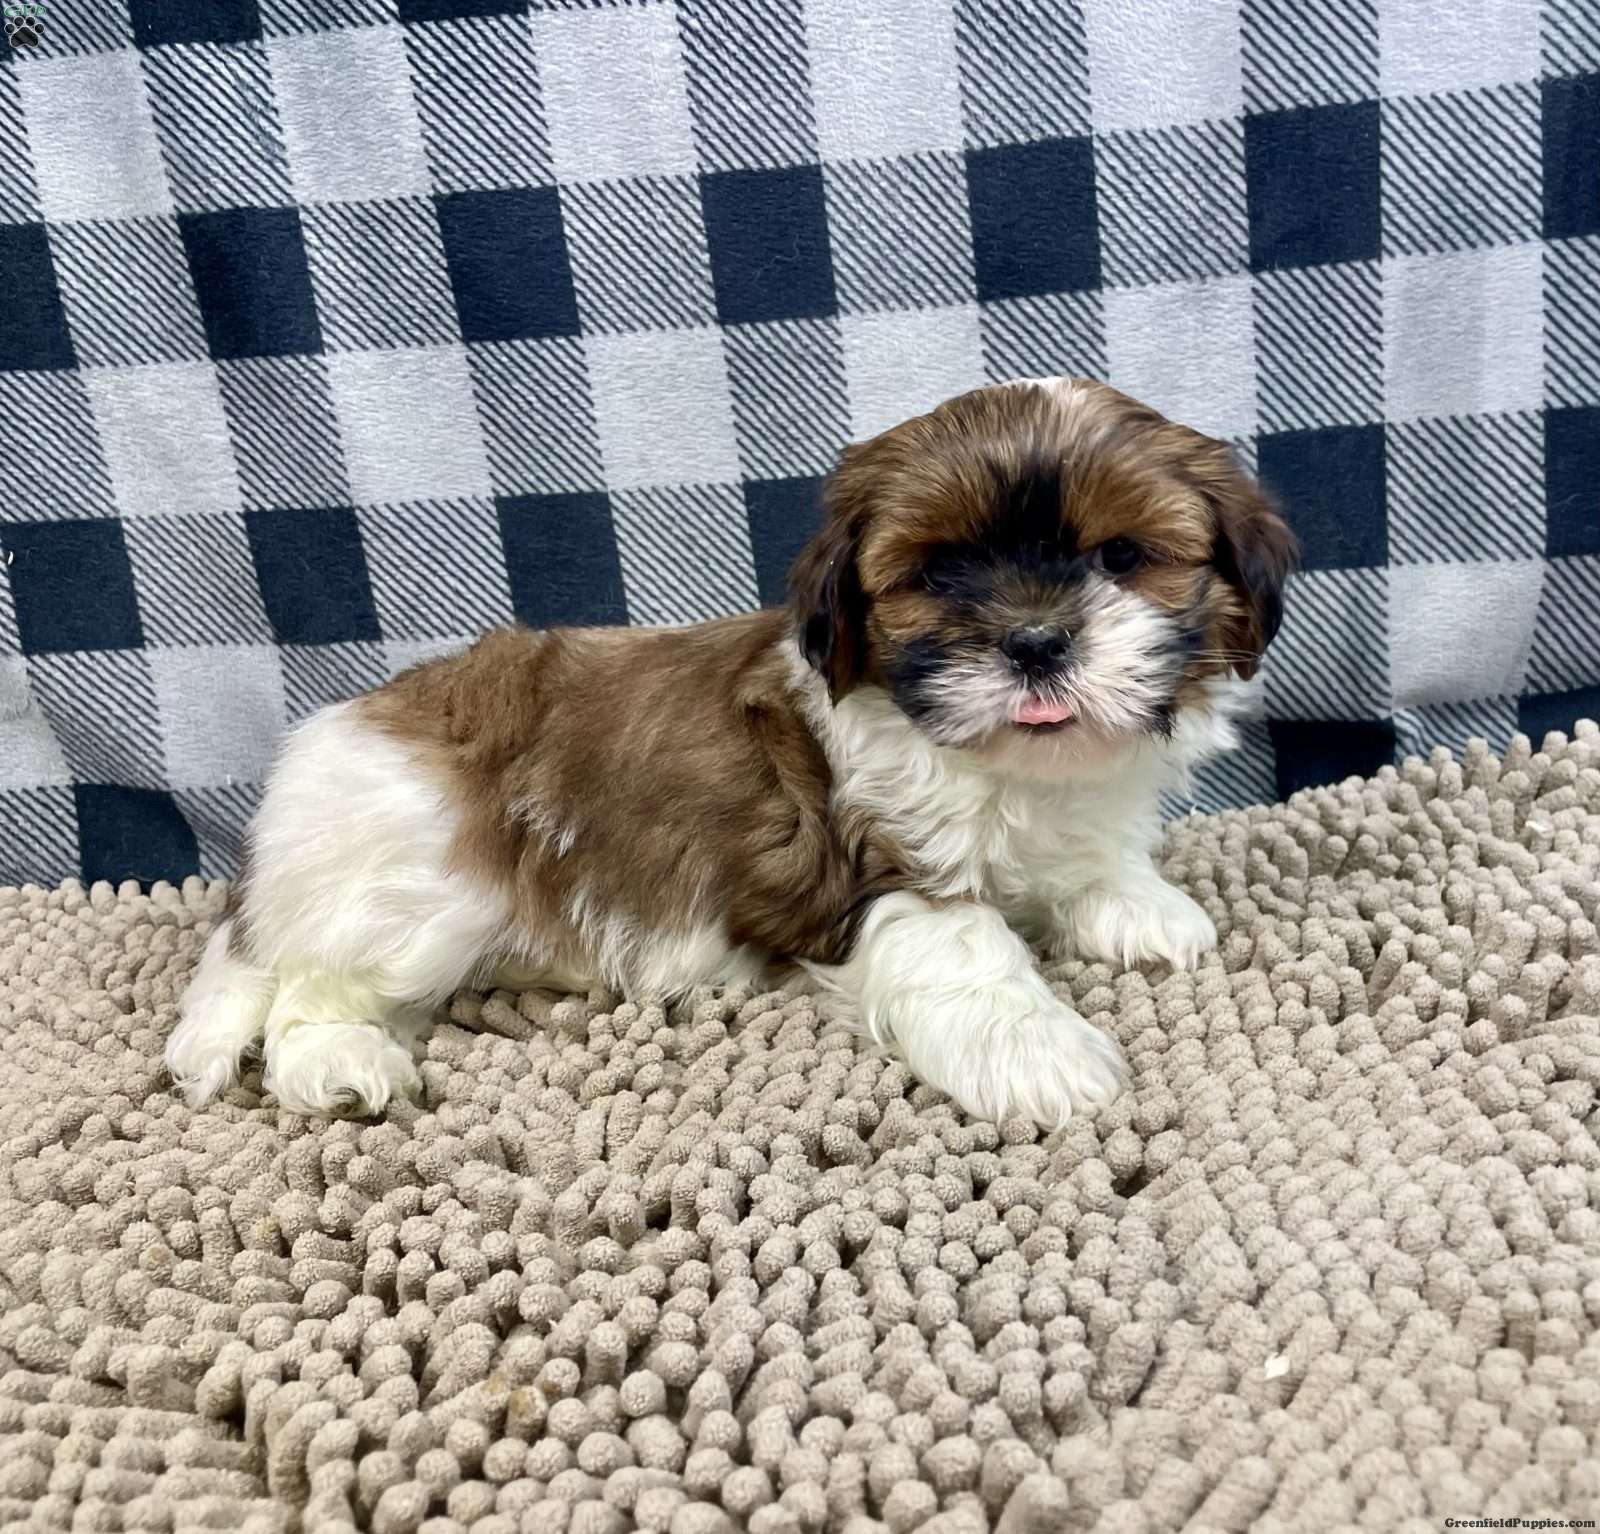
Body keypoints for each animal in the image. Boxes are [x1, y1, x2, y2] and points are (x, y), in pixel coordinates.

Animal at [165, 377, 1296, 1127]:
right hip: (423, 885)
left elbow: (1089, 862)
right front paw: (1041, 1053)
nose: (1034, 641)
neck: (1007, 774)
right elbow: (967, 952)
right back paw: (339, 1061)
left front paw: (1135, 904)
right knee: (312, 988)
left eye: (1122, 557)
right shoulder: (864, 869)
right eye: (937, 575)